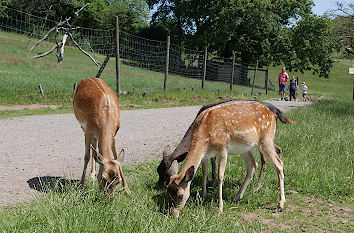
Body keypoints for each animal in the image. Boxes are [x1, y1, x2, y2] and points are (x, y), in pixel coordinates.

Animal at [166, 99, 294, 217]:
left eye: (180, 195)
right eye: (167, 192)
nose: (173, 214)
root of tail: (273, 114)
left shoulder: (223, 149)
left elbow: (220, 176)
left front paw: (219, 209)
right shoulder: (206, 155)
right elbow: (204, 172)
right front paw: (203, 195)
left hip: (266, 139)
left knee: (279, 164)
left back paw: (280, 205)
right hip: (244, 148)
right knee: (253, 165)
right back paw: (237, 197)